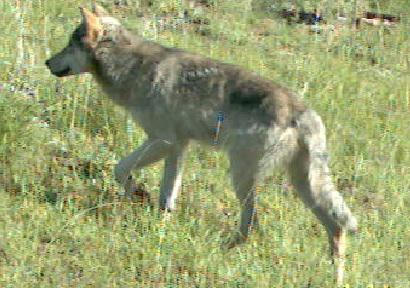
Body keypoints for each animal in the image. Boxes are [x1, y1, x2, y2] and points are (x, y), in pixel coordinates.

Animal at [46, 3, 358, 284]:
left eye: (68, 45)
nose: (48, 62)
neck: (133, 67)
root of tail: (304, 112)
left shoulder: (162, 141)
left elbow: (120, 169)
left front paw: (137, 195)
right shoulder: (178, 147)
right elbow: (167, 197)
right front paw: (160, 225)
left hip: (242, 177)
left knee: (253, 224)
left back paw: (222, 251)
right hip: (300, 185)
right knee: (335, 226)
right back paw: (335, 278)